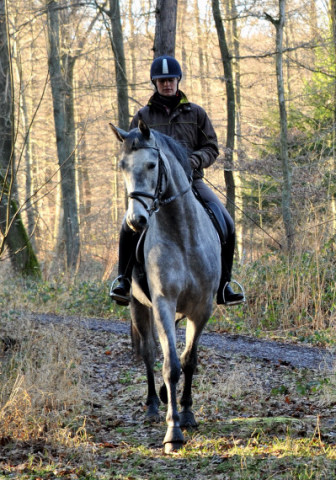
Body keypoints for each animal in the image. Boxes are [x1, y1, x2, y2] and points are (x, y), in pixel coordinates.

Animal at [109, 120, 220, 454]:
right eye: (122, 166)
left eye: (151, 164)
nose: (136, 220)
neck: (182, 235)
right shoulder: (162, 304)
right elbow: (170, 365)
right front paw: (173, 432)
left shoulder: (201, 309)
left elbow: (188, 361)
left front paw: (187, 413)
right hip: (137, 306)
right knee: (148, 353)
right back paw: (152, 406)